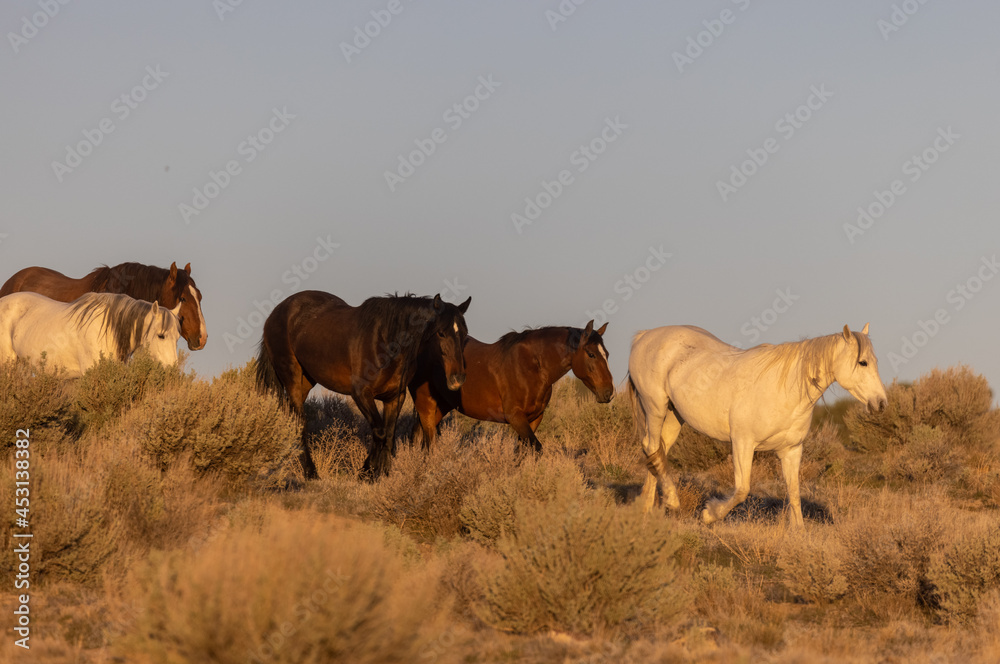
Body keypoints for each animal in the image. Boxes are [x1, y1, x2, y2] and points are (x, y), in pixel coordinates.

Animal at [260, 290, 474, 478]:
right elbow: (379, 432)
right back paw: (310, 473)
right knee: (300, 423)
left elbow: (389, 435)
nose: (457, 378)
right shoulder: (361, 394)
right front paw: (367, 473)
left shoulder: (395, 397)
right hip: (292, 380)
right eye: (441, 333)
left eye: (464, 333)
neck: (386, 343)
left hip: (306, 381)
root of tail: (276, 312)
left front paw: (383, 474)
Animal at [408, 320, 612, 452]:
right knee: (428, 443)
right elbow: (536, 449)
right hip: (426, 404)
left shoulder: (534, 418)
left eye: (607, 354)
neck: (532, 367)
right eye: (591, 354)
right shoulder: (515, 417)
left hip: (441, 405)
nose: (608, 392)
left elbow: (521, 453)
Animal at [628, 324, 888, 528]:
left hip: (674, 416)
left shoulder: (791, 450)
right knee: (652, 447)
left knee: (658, 452)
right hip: (655, 407)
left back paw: (647, 509)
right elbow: (742, 489)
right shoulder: (743, 443)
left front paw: (799, 533)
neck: (785, 389)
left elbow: (794, 492)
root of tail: (644, 336)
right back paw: (671, 501)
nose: (881, 403)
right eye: (862, 362)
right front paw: (709, 514)